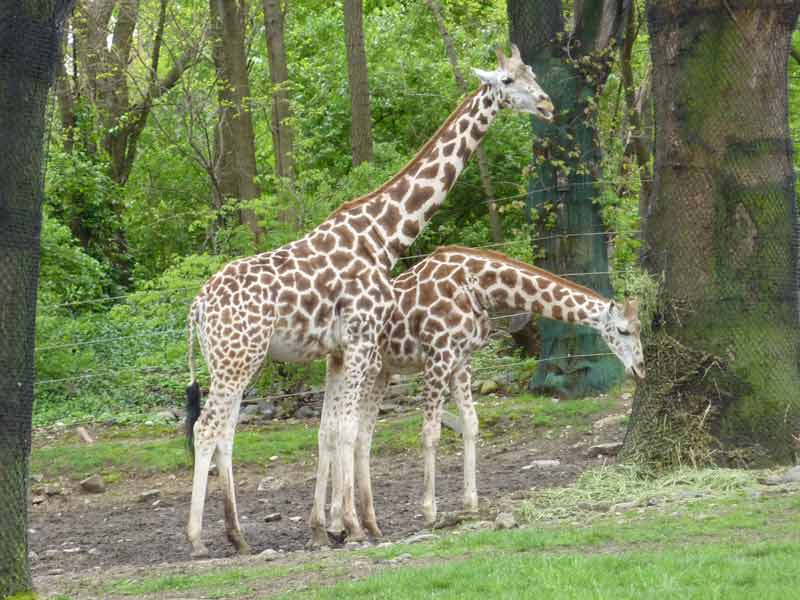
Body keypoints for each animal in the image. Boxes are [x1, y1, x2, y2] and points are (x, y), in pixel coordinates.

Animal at [184, 45, 552, 556]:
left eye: (531, 72)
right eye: (508, 80)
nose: (547, 104)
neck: (383, 237)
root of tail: (197, 307)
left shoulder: (339, 351)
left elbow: (332, 430)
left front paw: (331, 527)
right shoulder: (359, 342)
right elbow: (345, 429)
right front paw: (353, 527)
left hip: (233, 361)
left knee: (225, 433)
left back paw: (237, 535)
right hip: (239, 358)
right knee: (207, 429)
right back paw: (199, 539)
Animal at [334, 246, 648, 532]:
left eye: (640, 329)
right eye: (623, 330)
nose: (640, 369)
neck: (477, 285)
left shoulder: (461, 361)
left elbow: (471, 425)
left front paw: (470, 504)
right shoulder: (438, 357)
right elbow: (430, 434)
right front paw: (429, 511)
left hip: (380, 371)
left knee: (355, 433)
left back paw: (364, 523)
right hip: (359, 367)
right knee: (339, 429)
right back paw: (343, 524)